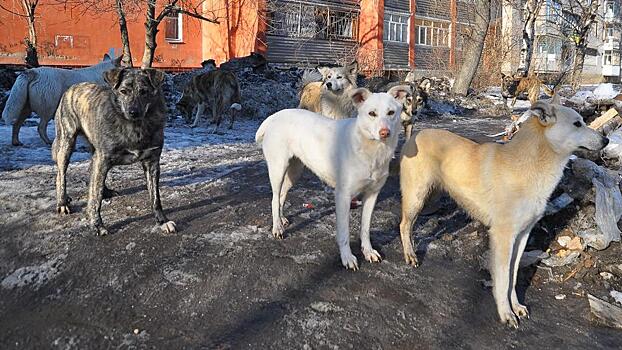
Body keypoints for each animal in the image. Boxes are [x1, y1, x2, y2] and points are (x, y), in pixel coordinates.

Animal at [53, 67, 178, 235]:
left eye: (144, 92)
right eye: (123, 91)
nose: (133, 112)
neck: (135, 126)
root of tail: (73, 86)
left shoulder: (152, 162)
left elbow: (155, 197)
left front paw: (162, 221)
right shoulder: (102, 159)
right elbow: (95, 198)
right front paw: (97, 225)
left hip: (94, 150)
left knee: (93, 173)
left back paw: (105, 191)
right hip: (66, 142)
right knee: (62, 174)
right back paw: (62, 202)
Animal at [256, 85, 412, 270]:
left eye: (391, 112)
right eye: (372, 113)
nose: (385, 133)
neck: (370, 149)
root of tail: (275, 116)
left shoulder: (372, 194)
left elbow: (365, 229)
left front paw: (368, 251)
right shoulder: (343, 196)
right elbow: (344, 233)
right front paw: (347, 258)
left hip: (294, 172)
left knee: (280, 196)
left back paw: (281, 220)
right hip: (278, 169)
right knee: (274, 198)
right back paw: (277, 227)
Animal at [400, 98, 608, 328]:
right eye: (577, 124)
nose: (606, 140)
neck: (529, 165)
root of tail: (416, 134)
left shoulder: (522, 236)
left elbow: (513, 275)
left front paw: (516, 306)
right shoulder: (502, 237)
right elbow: (502, 279)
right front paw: (506, 313)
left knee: (410, 225)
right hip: (416, 196)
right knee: (403, 224)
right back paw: (409, 254)